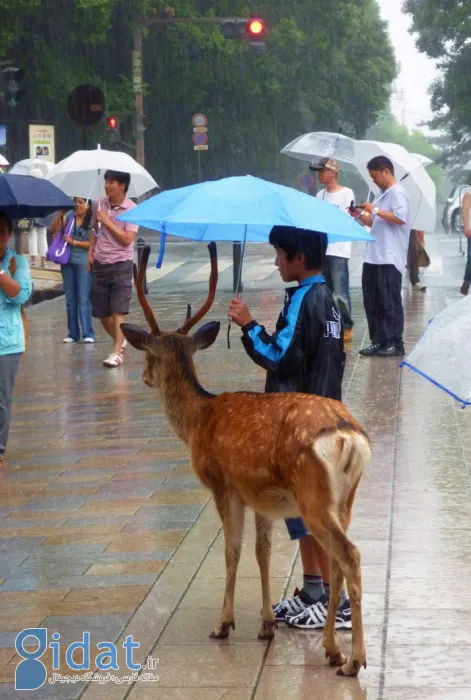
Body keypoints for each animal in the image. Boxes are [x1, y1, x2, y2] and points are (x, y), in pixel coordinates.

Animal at [121, 242, 372, 680]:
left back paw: (352, 659)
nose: (145, 378)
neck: (197, 420)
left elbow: (233, 551)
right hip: (345, 499)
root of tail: (348, 435)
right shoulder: (262, 496)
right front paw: (267, 623)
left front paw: (224, 623)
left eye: (148, 355)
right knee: (339, 562)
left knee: (350, 556)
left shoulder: (224, 484)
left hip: (313, 497)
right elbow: (263, 552)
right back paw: (331, 649)